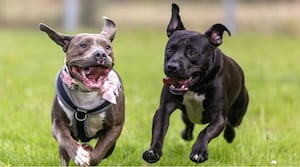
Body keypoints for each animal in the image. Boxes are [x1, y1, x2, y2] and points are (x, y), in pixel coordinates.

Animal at [143, 3, 248, 163]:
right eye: (169, 50)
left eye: (192, 53)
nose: (172, 66)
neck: (196, 86)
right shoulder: (164, 109)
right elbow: (159, 130)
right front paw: (153, 151)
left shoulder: (218, 116)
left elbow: (206, 131)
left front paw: (199, 152)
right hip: (186, 115)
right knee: (189, 124)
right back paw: (186, 134)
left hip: (238, 113)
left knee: (231, 124)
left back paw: (229, 136)